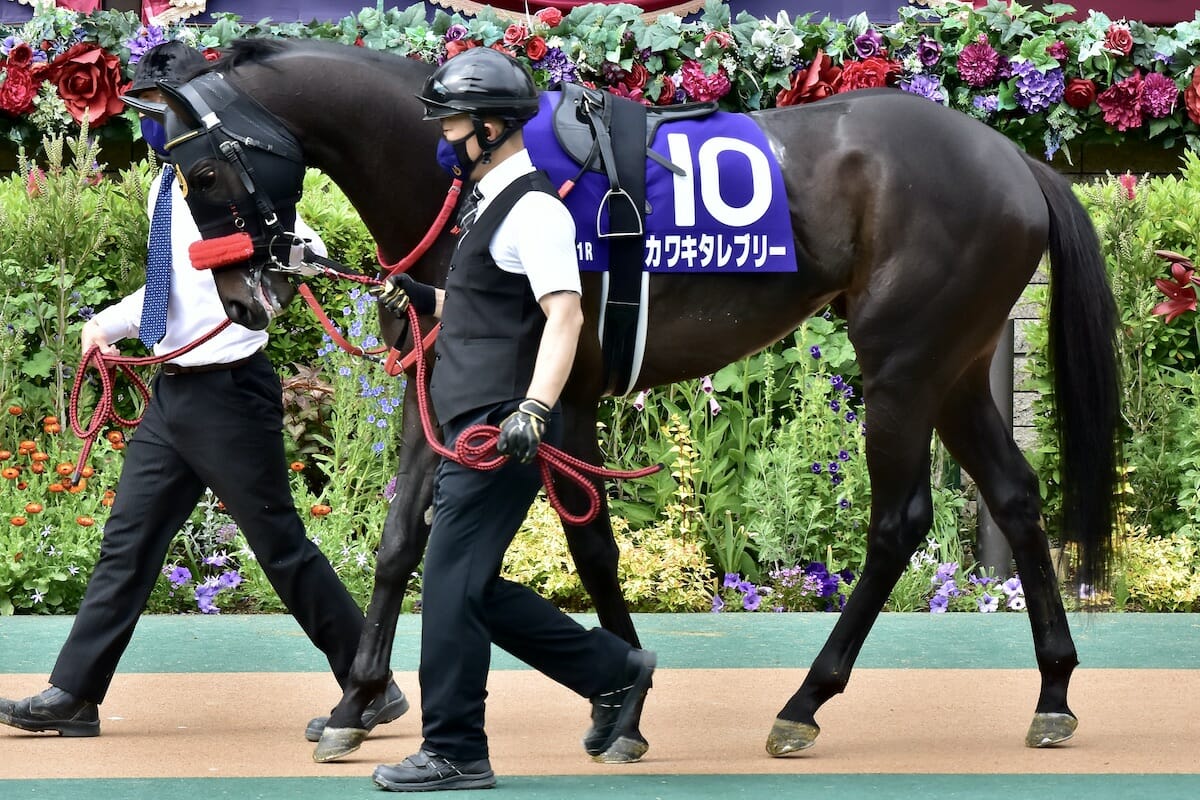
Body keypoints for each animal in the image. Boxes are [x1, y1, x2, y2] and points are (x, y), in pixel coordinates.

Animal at [153, 38, 1120, 763]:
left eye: (204, 177)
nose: (243, 297)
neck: (479, 178)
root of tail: (1013, 156)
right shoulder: (447, 376)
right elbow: (398, 546)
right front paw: (355, 706)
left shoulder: (562, 389)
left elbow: (592, 550)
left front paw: (621, 709)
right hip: (953, 367)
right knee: (1016, 496)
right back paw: (1055, 691)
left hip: (902, 368)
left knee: (898, 521)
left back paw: (804, 703)